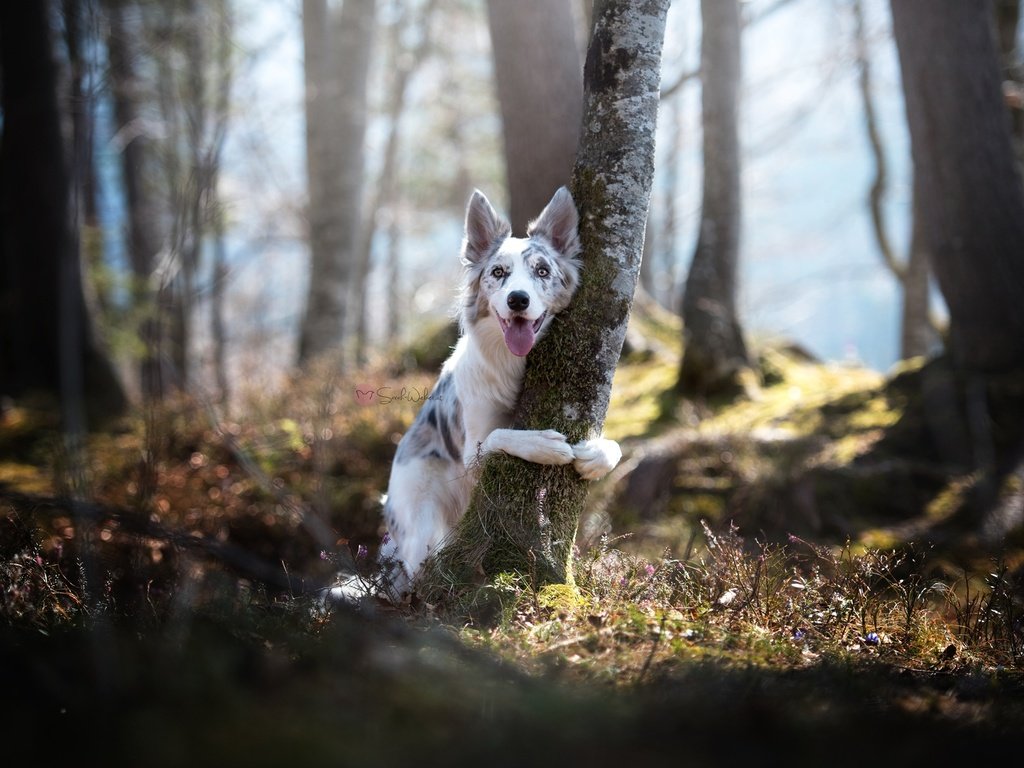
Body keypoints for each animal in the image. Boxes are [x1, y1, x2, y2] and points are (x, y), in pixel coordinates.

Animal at [339, 188, 618, 606]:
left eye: (542, 271)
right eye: (498, 272)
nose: (518, 300)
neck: (512, 363)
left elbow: (615, 447)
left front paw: (597, 455)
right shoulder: (471, 449)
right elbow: (501, 435)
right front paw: (543, 445)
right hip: (422, 512)